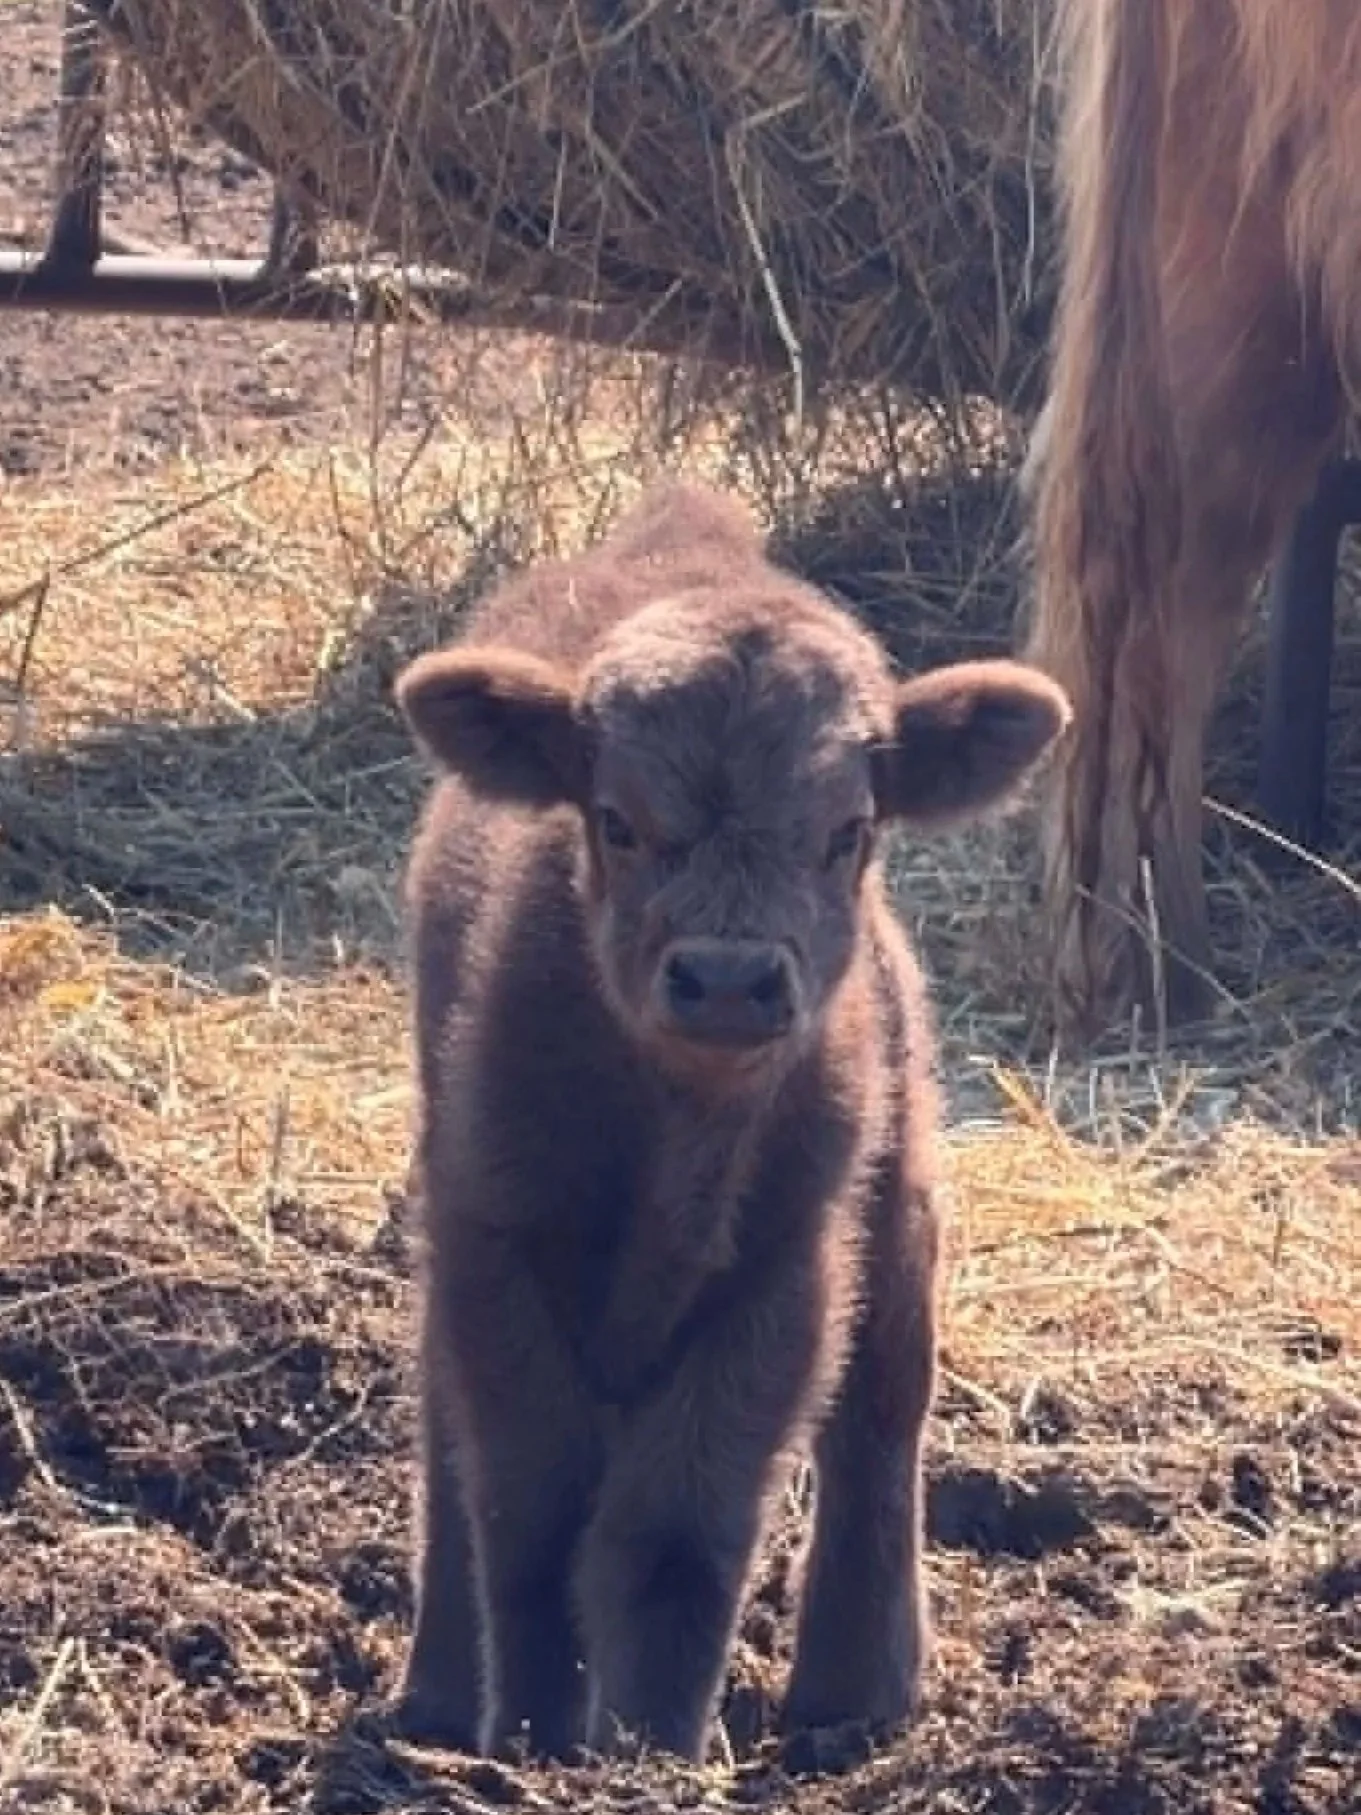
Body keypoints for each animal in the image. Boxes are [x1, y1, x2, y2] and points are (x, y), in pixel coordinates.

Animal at [390, 480, 1070, 1764]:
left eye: (849, 829)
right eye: (614, 819)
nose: (725, 980)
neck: (678, 1139)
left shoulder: (778, 1277)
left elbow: (673, 1536)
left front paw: (648, 1747)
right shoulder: (494, 1249)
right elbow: (528, 1507)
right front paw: (534, 1743)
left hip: (894, 1206)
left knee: (879, 1414)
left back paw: (853, 1699)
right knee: (451, 1451)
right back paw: (441, 1702)